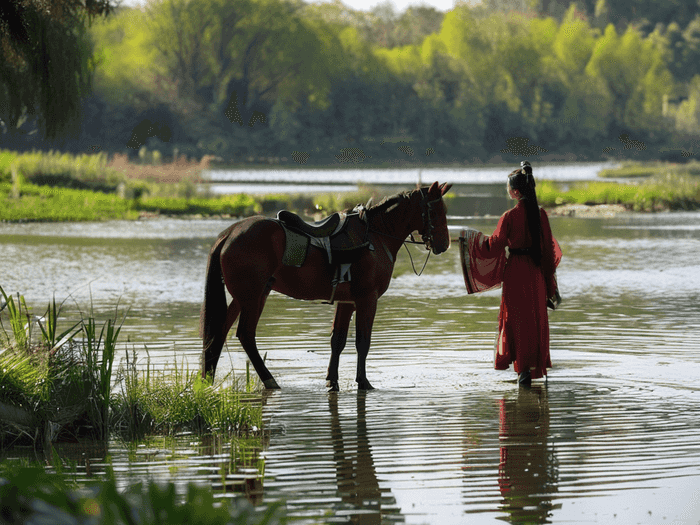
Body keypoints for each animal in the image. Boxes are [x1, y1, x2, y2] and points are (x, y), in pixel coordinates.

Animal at [200, 180, 452, 388]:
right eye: (436, 211)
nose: (445, 244)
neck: (376, 236)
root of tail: (230, 232)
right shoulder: (367, 299)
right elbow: (363, 342)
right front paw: (363, 381)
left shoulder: (347, 301)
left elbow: (337, 341)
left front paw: (332, 380)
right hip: (253, 296)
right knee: (245, 335)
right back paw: (269, 380)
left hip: (246, 296)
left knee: (218, 334)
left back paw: (208, 378)